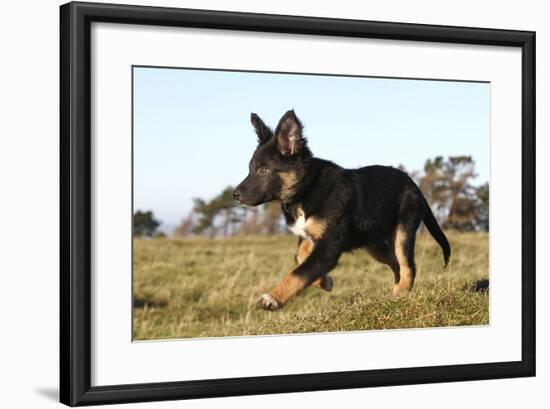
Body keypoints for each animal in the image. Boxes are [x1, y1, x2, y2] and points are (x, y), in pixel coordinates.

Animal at [235, 110, 450, 310]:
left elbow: (301, 271)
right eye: (250, 168)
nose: (235, 195)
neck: (307, 189)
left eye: (263, 170)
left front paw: (272, 298)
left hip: (403, 230)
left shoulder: (330, 245)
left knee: (407, 266)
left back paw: (400, 294)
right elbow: (301, 258)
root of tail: (415, 186)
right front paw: (325, 281)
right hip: (374, 244)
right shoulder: (311, 234)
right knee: (397, 264)